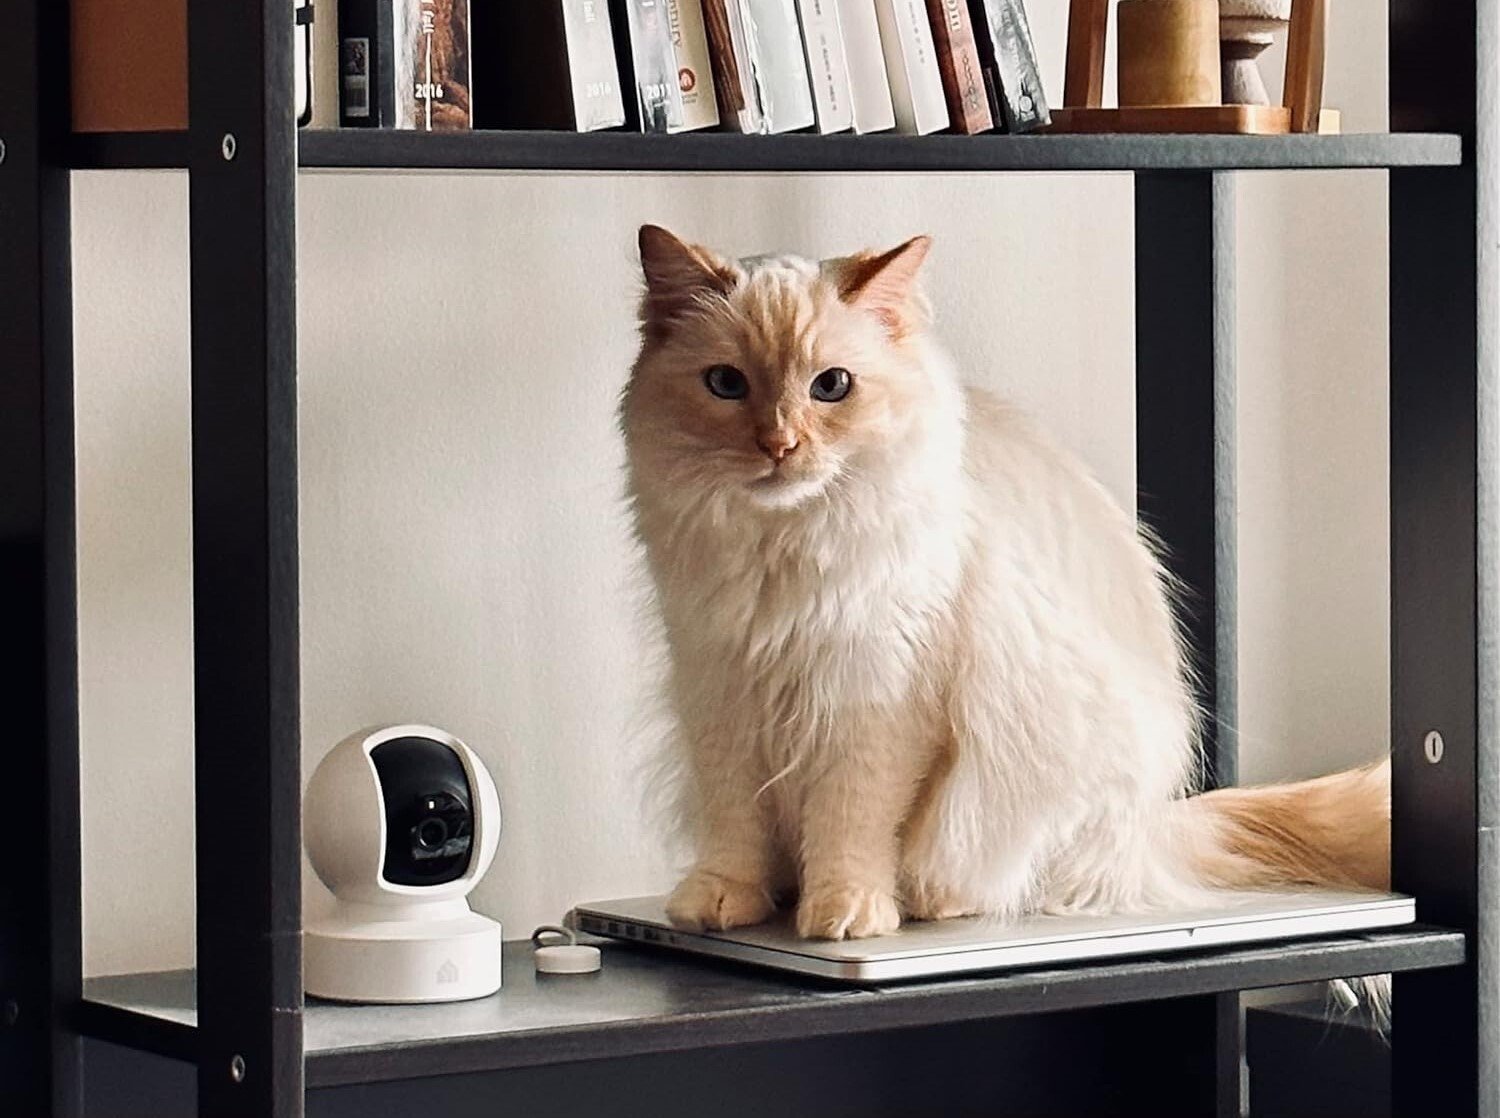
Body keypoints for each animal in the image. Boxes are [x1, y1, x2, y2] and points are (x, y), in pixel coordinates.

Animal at [618, 226, 1380, 942]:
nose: (779, 446)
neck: (782, 548)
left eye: (830, 386)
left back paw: (931, 901)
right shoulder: (718, 691)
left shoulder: (875, 699)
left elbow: (851, 823)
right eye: (726, 384)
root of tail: (1156, 830)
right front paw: (722, 904)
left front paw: (846, 912)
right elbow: (734, 826)